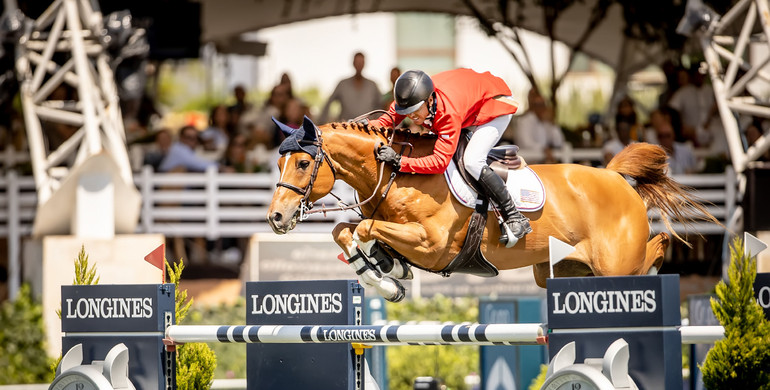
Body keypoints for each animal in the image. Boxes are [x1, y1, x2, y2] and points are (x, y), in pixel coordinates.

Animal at [266, 117, 720, 304]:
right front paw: (386, 273)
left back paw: (659, 266)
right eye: (279, 163)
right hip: (561, 270)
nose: (276, 218)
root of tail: (613, 177)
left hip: (615, 264)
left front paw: (389, 278)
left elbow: (363, 230)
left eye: (303, 164)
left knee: (654, 248)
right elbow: (344, 230)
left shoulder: (433, 245)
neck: (398, 173)